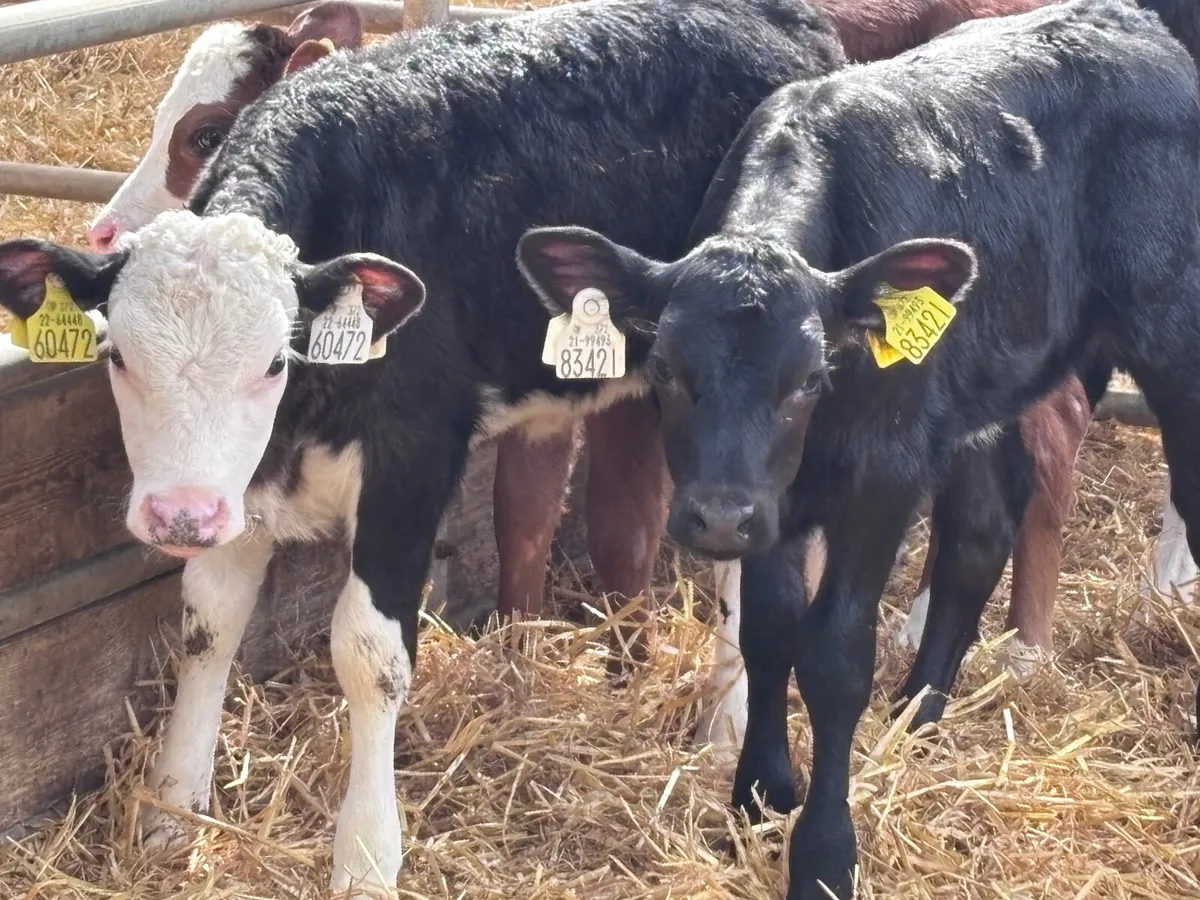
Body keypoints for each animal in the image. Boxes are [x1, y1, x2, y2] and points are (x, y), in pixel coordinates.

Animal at [0, 0, 845, 894]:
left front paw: (366, 855)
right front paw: (170, 813)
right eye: (116, 355)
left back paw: (726, 728)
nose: (178, 515)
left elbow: (369, 655)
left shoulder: (410, 463)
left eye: (273, 361)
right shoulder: (245, 484)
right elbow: (206, 628)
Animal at [513, 2, 1200, 896]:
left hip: (1176, 342)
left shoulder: (883, 473)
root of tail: (1141, 28)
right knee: (980, 532)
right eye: (661, 367)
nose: (716, 518)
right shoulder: (775, 498)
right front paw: (760, 795)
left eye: (811, 377)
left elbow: (835, 656)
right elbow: (769, 631)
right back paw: (916, 718)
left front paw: (823, 851)